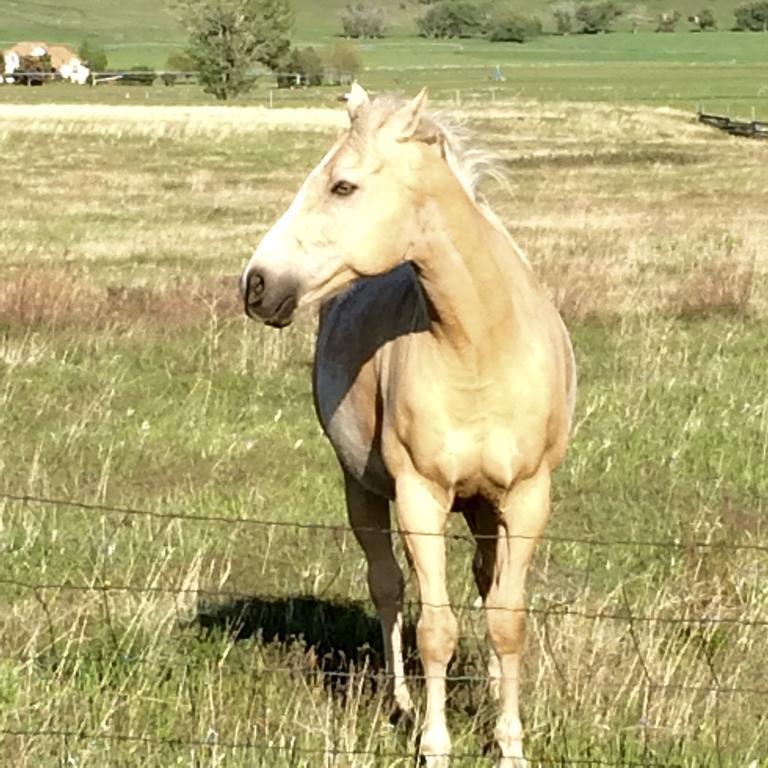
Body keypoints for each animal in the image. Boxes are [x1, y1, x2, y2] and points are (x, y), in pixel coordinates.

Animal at [242, 84, 576, 760]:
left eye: (343, 186)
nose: (256, 285)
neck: (478, 345)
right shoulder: (421, 495)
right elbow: (435, 628)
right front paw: (435, 744)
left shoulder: (528, 497)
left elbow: (507, 620)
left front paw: (510, 745)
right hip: (364, 491)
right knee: (388, 585)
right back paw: (399, 702)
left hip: (483, 506)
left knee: (484, 584)